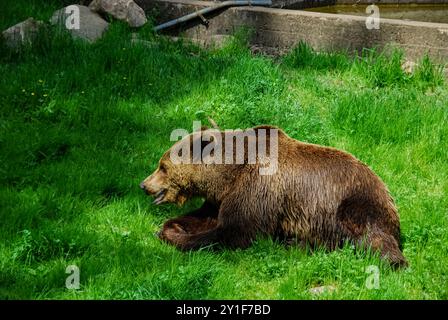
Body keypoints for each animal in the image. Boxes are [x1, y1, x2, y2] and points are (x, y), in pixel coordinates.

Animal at [140, 125, 406, 268]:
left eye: (162, 167)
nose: (144, 185)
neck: (230, 172)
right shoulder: (223, 196)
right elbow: (205, 217)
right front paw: (172, 226)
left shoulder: (259, 189)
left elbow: (234, 232)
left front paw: (177, 237)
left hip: (355, 203)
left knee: (372, 240)